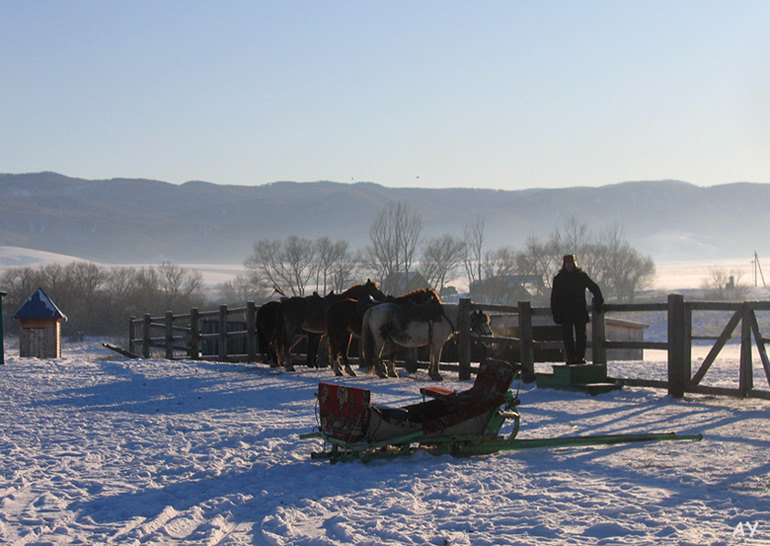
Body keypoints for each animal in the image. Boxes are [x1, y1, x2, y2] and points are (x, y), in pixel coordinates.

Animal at [362, 298, 492, 378]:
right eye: (484, 323)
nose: (490, 339)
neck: (445, 317)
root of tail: (372, 310)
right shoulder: (439, 342)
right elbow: (437, 357)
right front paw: (436, 375)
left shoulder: (434, 343)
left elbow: (432, 357)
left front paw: (431, 373)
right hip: (380, 338)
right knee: (376, 354)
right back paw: (381, 373)